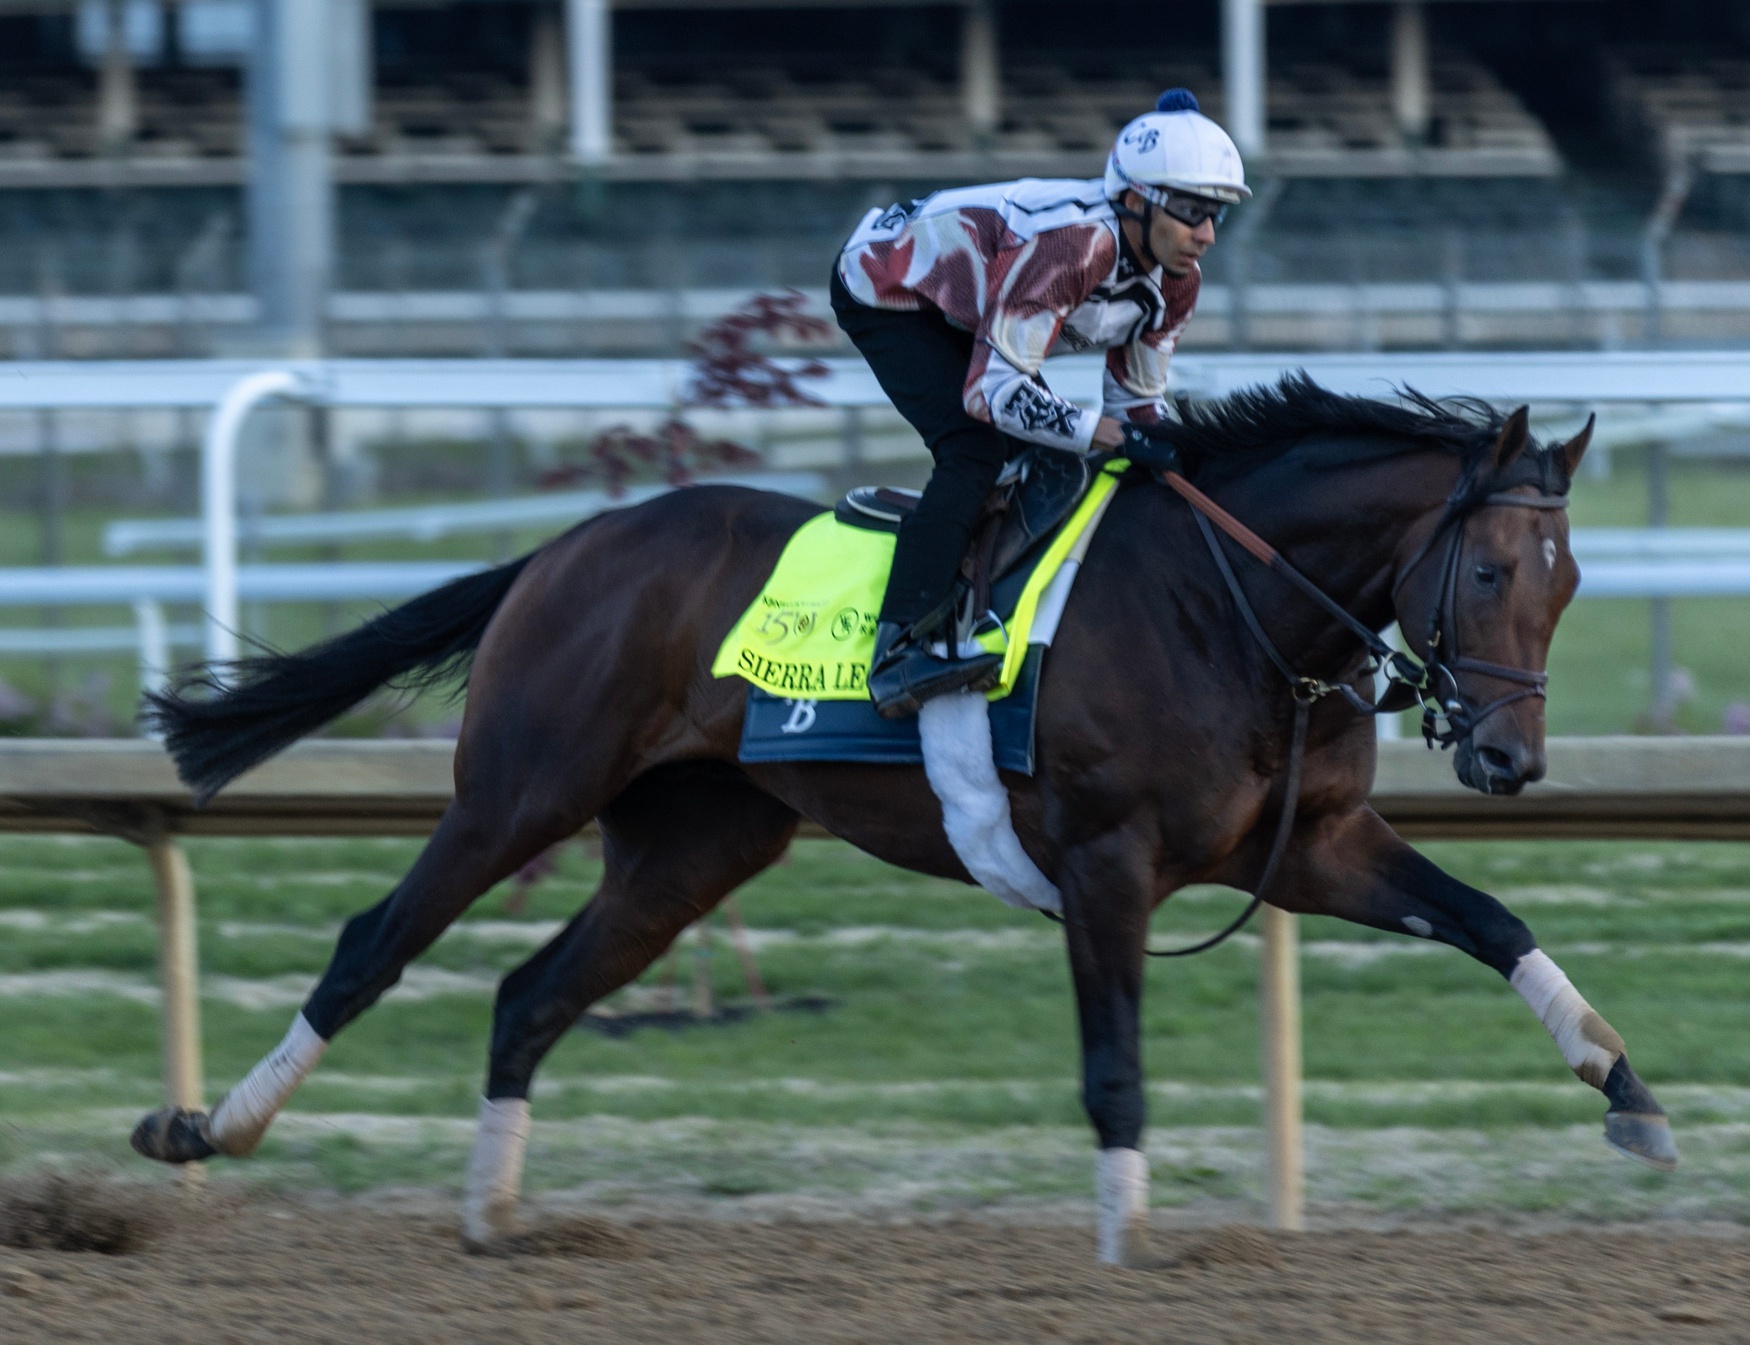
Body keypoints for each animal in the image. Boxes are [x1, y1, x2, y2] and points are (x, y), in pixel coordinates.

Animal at [130, 375, 1674, 1266]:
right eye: (1487, 570)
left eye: (1568, 579)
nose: (1509, 756)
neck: (1227, 603)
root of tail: (570, 542)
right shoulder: (1107, 863)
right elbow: (1114, 1067)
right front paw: (1128, 1235)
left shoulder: (1302, 846)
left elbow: (1492, 920)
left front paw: (1629, 1092)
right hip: (521, 787)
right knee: (373, 943)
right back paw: (208, 1129)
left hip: (694, 843)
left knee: (528, 993)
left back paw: (493, 1213)